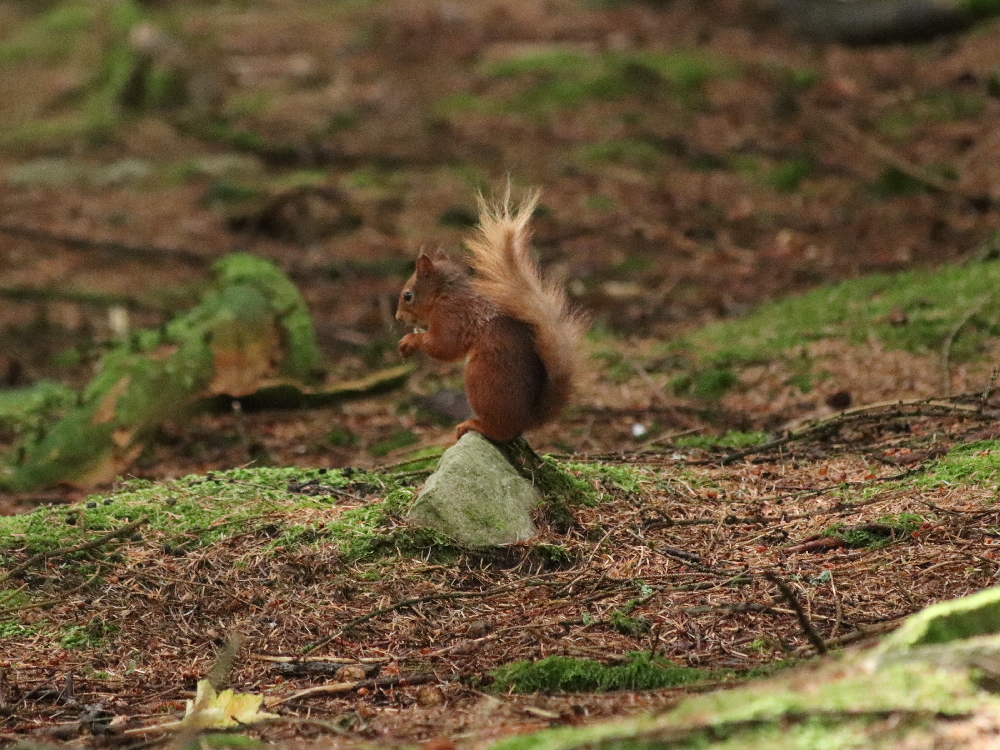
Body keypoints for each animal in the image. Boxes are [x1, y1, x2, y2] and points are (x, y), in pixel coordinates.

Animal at [398, 191, 584, 444]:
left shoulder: (452, 317)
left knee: (502, 431)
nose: (398, 318)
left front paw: (410, 341)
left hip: (481, 379)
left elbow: (444, 346)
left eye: (408, 295)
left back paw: (474, 425)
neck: (444, 294)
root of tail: (529, 419)